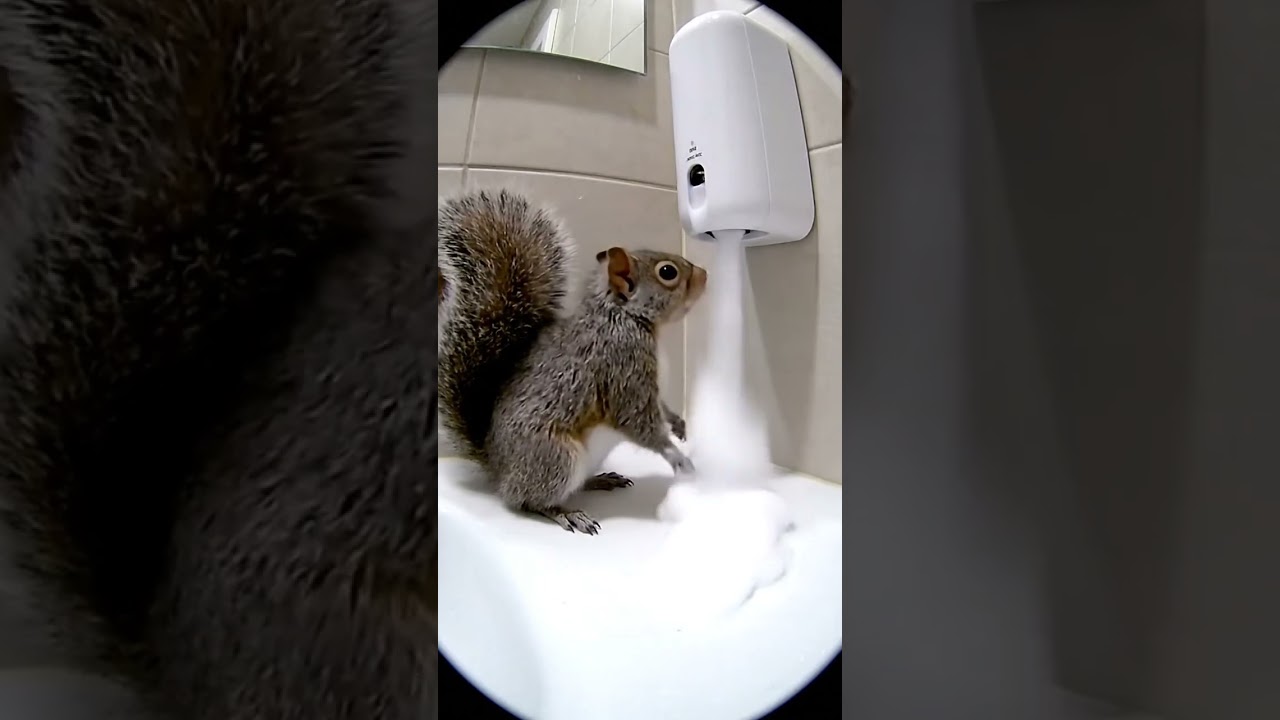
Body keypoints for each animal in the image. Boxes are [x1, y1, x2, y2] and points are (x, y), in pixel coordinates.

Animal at [439, 188, 708, 534]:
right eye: (667, 272)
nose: (704, 274)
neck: (626, 317)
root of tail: (497, 469)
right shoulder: (622, 367)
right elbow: (638, 421)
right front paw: (676, 456)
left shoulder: (649, 385)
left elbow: (661, 407)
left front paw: (679, 424)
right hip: (556, 457)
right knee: (527, 501)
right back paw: (565, 512)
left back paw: (599, 480)